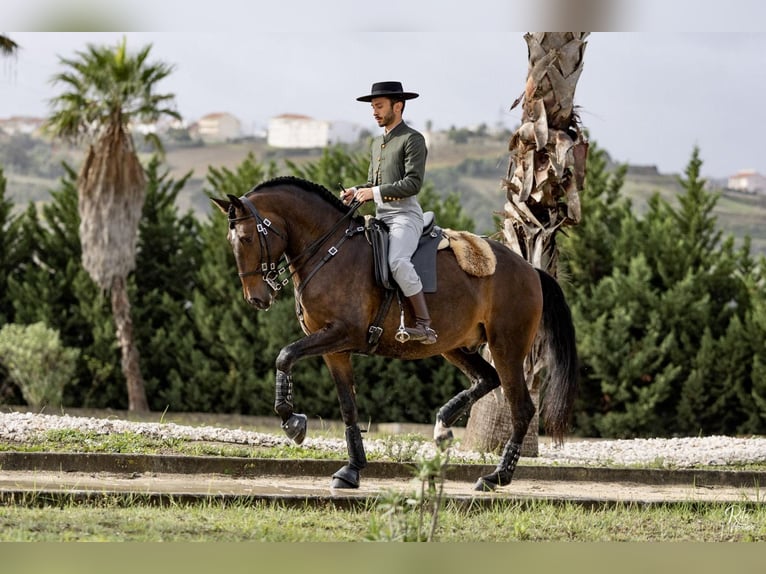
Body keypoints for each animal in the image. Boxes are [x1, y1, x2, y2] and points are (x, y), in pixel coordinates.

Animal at [213, 178, 580, 492]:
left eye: (246, 239)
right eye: (230, 242)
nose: (257, 298)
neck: (329, 249)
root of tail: (530, 269)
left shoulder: (342, 334)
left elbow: (284, 355)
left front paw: (293, 422)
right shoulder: (333, 348)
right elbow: (348, 407)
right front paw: (352, 470)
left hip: (507, 348)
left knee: (521, 408)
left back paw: (496, 476)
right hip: (455, 345)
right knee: (486, 378)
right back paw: (444, 422)